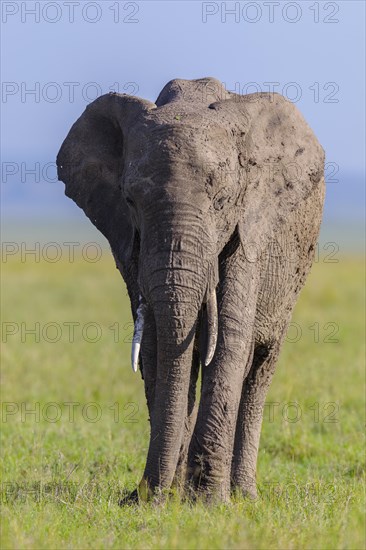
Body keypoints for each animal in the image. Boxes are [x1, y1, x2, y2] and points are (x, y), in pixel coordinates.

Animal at [55, 77, 324, 504]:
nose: (144, 495)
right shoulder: (129, 240)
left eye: (223, 200)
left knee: (259, 367)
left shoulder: (251, 226)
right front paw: (160, 500)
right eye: (130, 199)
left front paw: (209, 502)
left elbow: (230, 340)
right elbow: (154, 345)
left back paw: (244, 495)